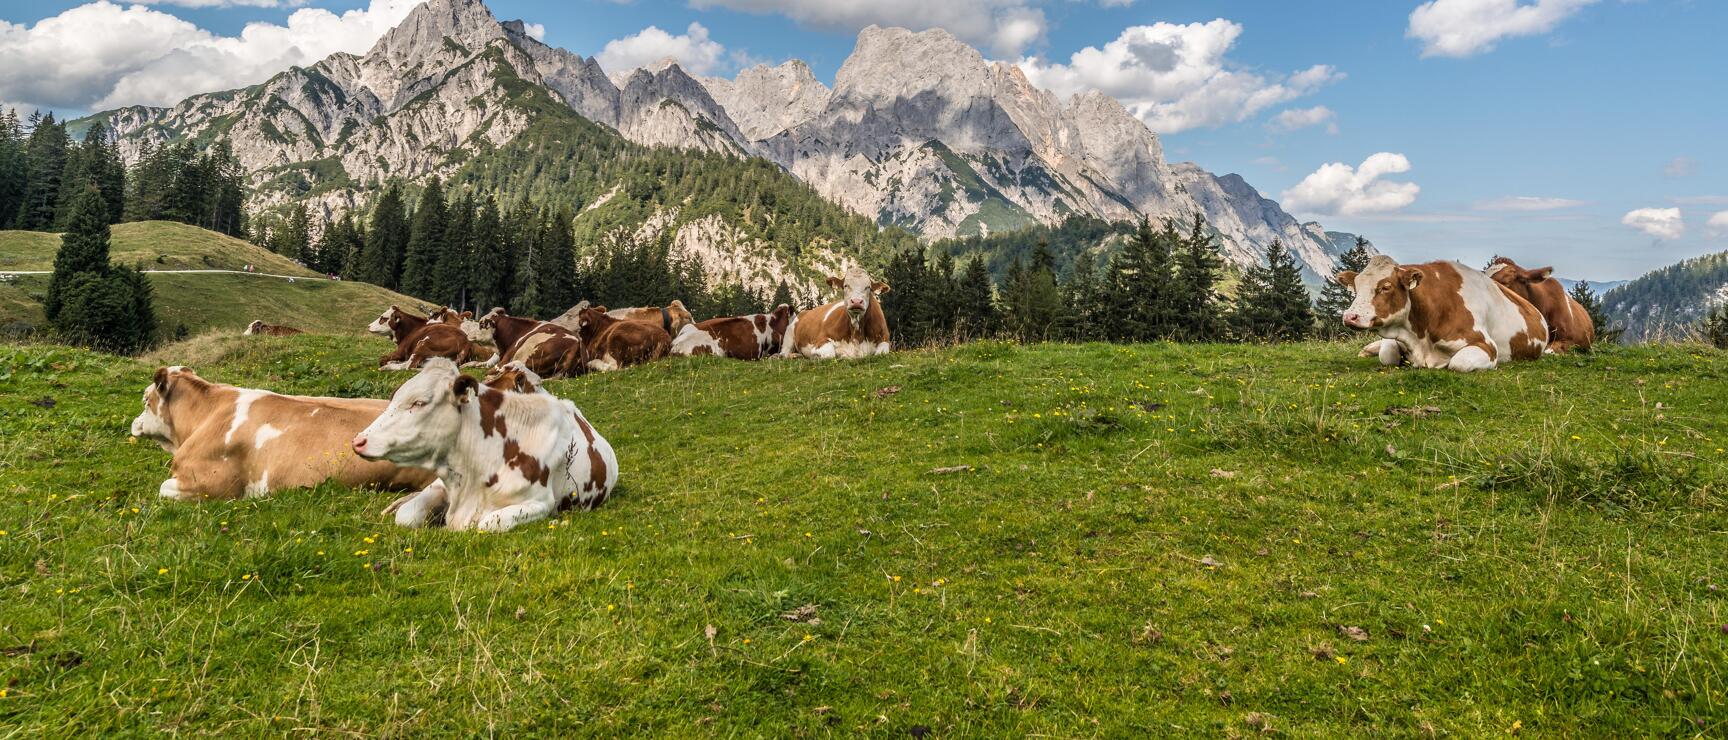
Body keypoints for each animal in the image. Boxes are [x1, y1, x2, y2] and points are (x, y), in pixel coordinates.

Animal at [352, 359, 618, 532]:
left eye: (419, 402)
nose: (358, 441)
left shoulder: (540, 503)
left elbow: (487, 523)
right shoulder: (444, 485)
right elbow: (406, 515)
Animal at [1336, 255, 1547, 372]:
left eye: (1386, 287)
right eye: (1356, 286)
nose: (1349, 317)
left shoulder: (1486, 345)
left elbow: (1458, 363)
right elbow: (1387, 354)